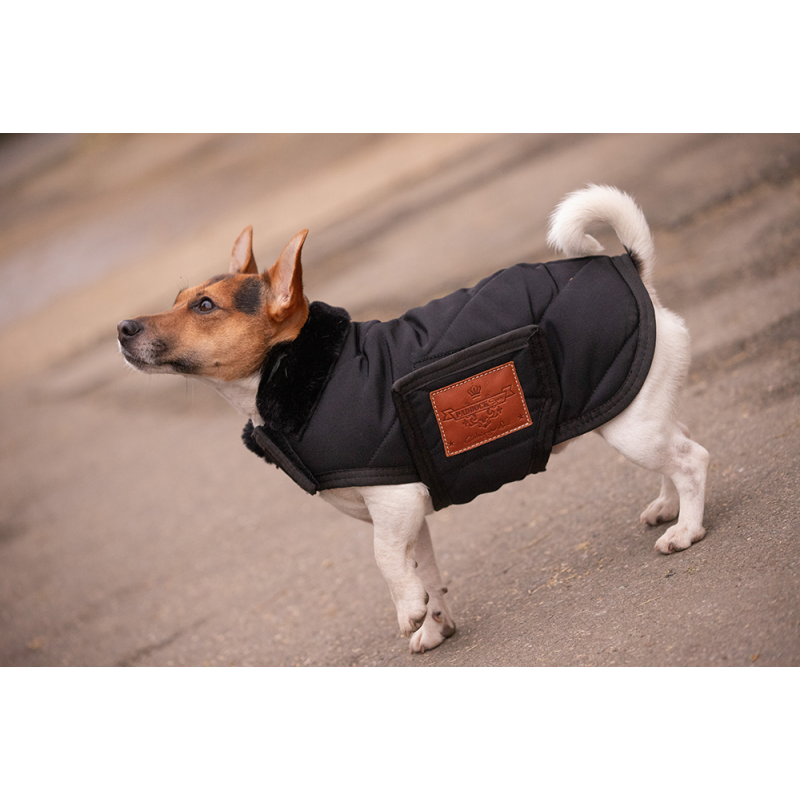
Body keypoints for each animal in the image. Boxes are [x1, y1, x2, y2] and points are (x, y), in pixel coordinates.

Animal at [118, 185, 709, 654]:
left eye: (205, 307)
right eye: (178, 298)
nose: (123, 328)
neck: (300, 371)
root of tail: (629, 265)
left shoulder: (394, 504)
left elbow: (384, 560)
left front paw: (408, 612)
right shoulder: (411, 516)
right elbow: (426, 572)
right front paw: (434, 623)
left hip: (630, 427)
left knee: (692, 459)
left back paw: (686, 530)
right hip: (641, 413)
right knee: (678, 445)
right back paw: (667, 508)